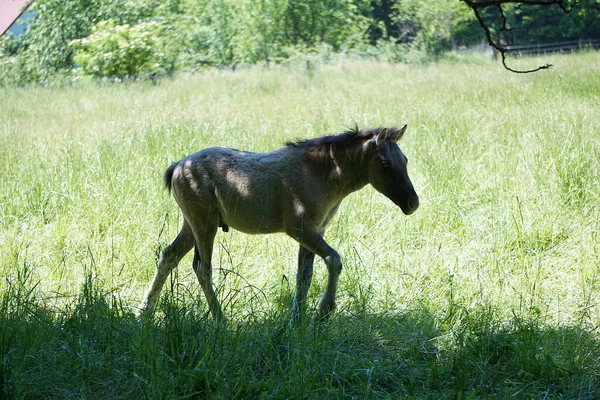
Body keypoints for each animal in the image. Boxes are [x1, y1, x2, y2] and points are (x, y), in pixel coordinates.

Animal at [137, 126, 420, 320]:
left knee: (168, 256)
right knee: (202, 268)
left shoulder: (316, 229)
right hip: (204, 225)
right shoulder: (299, 228)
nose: (412, 202)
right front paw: (324, 310)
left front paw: (298, 318)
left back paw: (145, 311)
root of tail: (178, 166)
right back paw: (220, 319)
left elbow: (304, 275)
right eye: (384, 163)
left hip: (192, 225)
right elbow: (334, 259)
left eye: (405, 160)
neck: (321, 173)